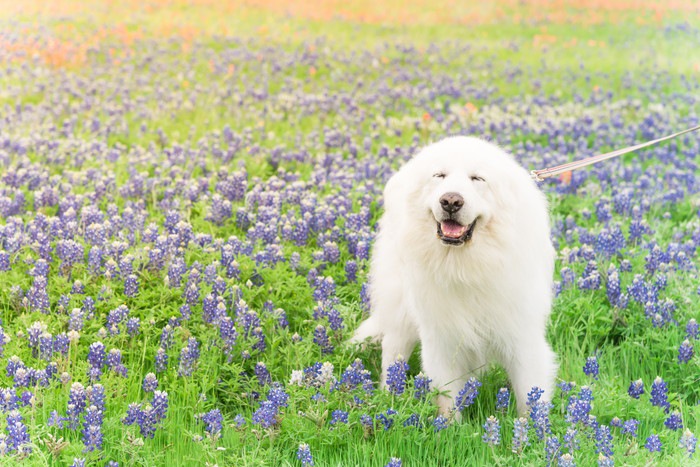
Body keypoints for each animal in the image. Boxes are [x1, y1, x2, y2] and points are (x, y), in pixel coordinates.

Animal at [352, 137, 560, 414]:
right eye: (439, 175)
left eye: (477, 178)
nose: (451, 201)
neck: (464, 266)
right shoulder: (441, 337)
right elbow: (446, 400)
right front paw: (447, 424)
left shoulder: (522, 336)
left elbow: (530, 399)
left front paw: (532, 427)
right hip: (401, 304)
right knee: (393, 352)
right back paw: (389, 398)